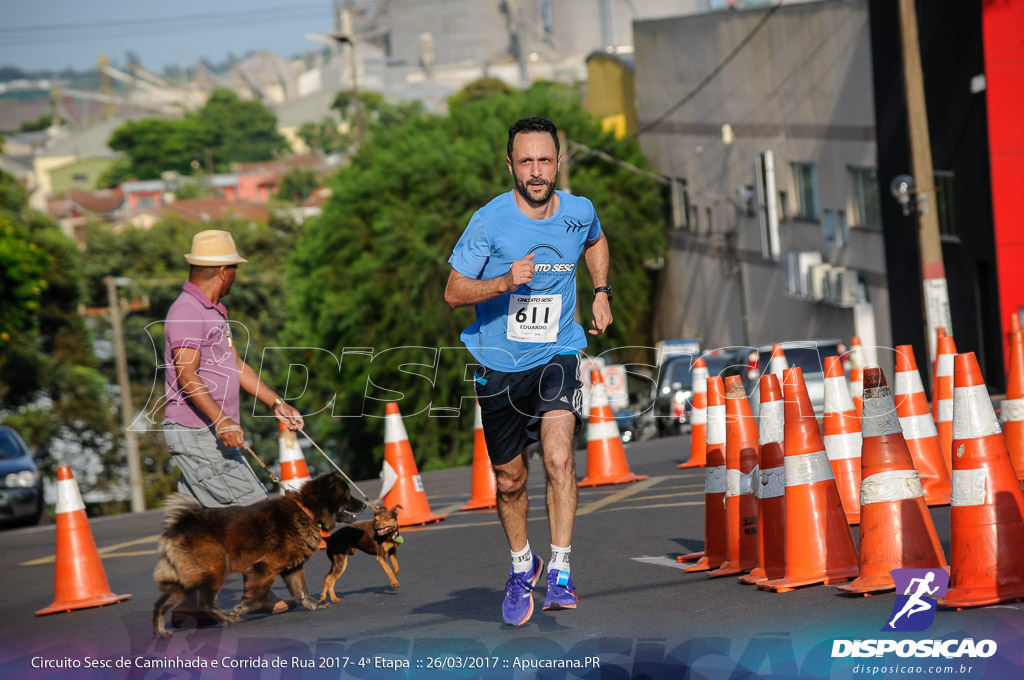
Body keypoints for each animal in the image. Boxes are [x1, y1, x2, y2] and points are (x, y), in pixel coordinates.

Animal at [149, 473, 362, 639]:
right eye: (347, 494)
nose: (363, 504)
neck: (307, 510)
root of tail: (180, 525)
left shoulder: (293, 568)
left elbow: (301, 590)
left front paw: (313, 605)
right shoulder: (265, 568)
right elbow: (258, 597)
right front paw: (243, 608)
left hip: (186, 583)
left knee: (161, 604)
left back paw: (160, 631)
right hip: (214, 571)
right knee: (205, 602)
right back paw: (227, 619)